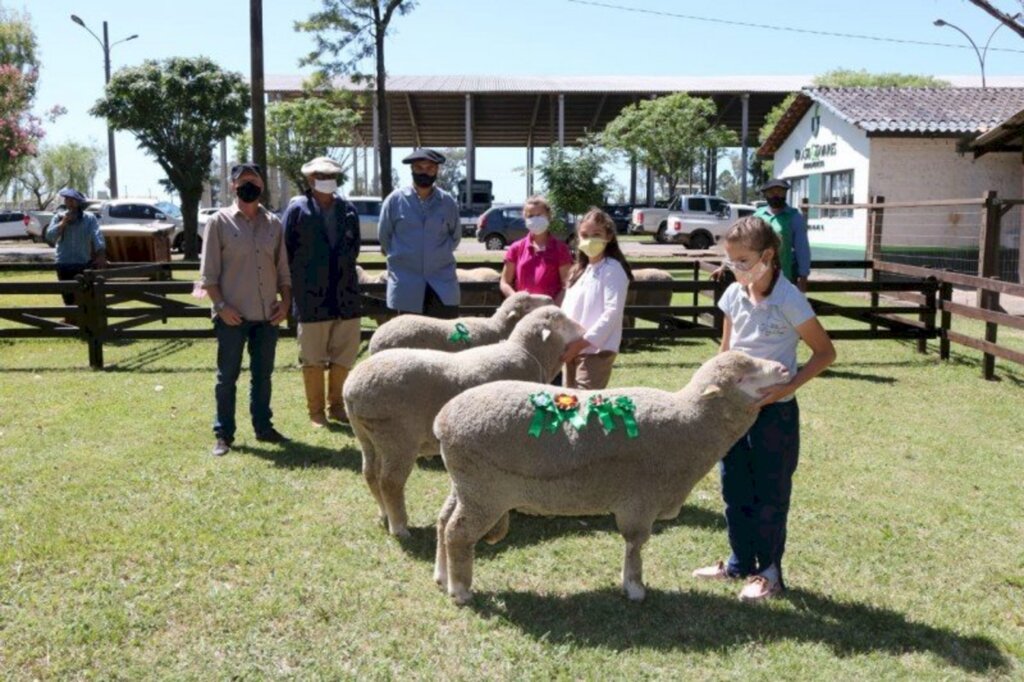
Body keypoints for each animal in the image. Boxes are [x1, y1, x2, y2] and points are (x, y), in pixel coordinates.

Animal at [344, 307, 585, 536]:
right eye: (562, 321)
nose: (584, 330)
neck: (531, 354)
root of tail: (351, 389)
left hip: (366, 435)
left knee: (370, 473)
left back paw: (383, 514)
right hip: (396, 438)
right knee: (390, 481)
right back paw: (399, 526)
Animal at [432, 350, 790, 602]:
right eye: (742, 378)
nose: (785, 369)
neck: (692, 421)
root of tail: (443, 419)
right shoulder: (641, 500)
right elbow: (635, 544)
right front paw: (634, 587)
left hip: (465, 484)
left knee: (443, 521)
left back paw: (442, 577)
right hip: (484, 491)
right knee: (458, 532)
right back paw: (461, 591)